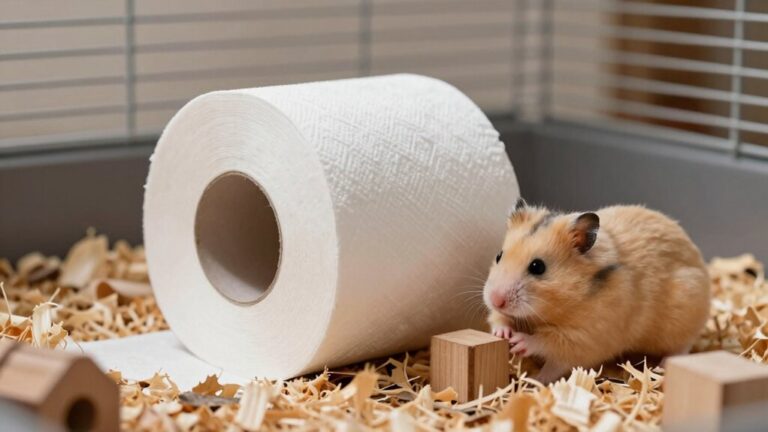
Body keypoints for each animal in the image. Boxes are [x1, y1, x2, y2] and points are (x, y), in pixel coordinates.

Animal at [484, 199, 711, 383]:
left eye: (538, 267)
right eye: (498, 256)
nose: (496, 300)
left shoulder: (585, 338)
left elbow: (549, 349)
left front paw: (526, 358)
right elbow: (499, 319)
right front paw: (503, 333)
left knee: (683, 346)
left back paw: (662, 366)